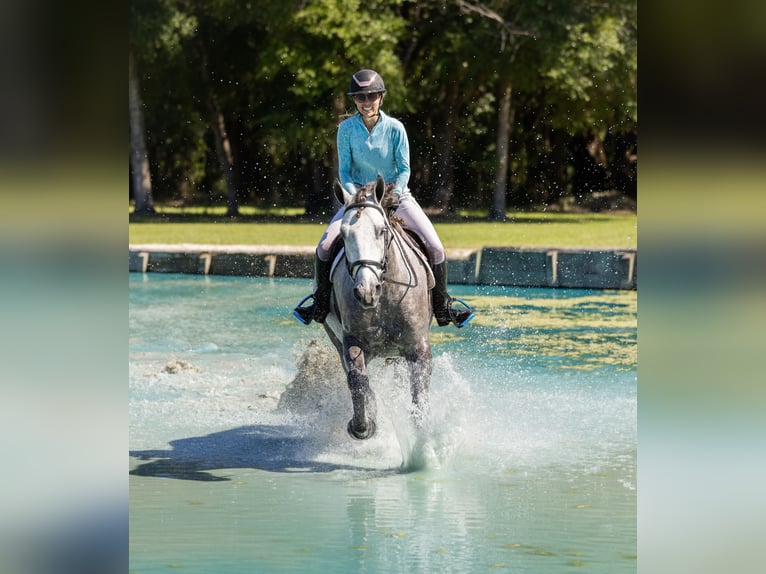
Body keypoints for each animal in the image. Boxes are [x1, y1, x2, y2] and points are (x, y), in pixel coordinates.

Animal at [322, 176, 434, 440]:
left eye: (381, 230)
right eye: (343, 234)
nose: (366, 290)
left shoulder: (418, 346)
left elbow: (419, 391)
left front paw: (423, 438)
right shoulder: (351, 340)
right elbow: (357, 380)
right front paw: (362, 426)